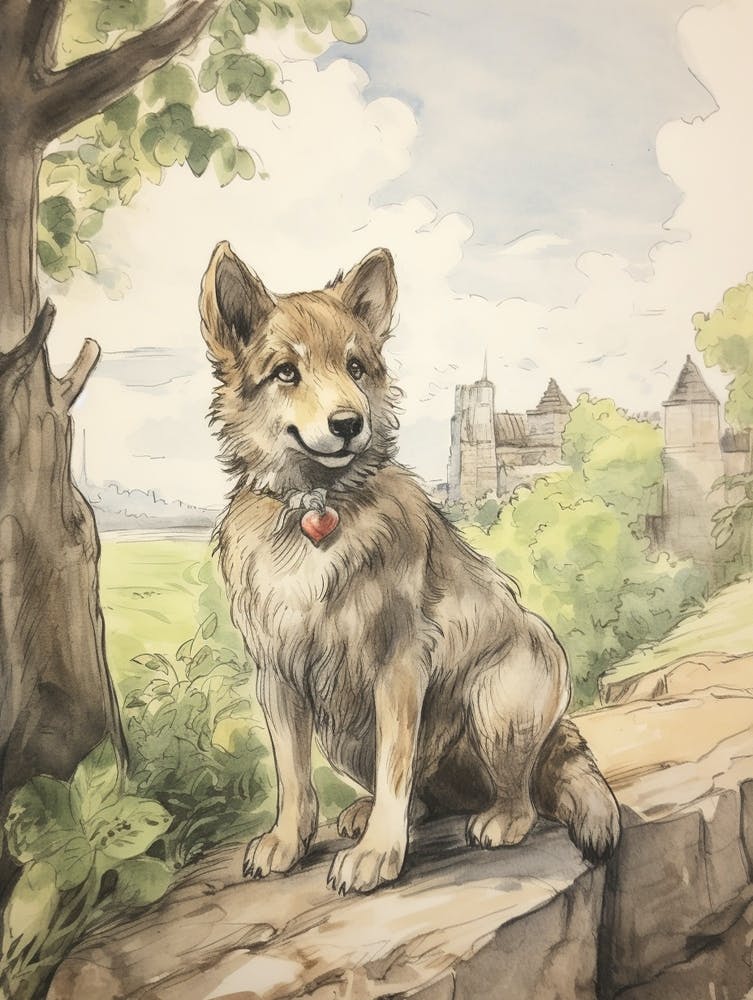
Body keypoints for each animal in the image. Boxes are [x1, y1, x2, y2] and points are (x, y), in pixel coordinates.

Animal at [200, 241, 620, 894]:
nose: (350, 423)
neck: (317, 508)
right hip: (347, 734)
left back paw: (498, 819)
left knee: (516, 793)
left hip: (501, 698)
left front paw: (379, 855)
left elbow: (395, 766)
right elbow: (293, 777)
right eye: (286, 372)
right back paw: (368, 811)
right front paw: (290, 842)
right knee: (424, 797)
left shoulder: (397, 669)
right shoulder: (278, 674)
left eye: (355, 367)